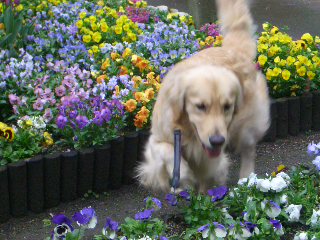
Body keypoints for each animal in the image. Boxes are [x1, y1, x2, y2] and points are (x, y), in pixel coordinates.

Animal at [137, 0, 270, 192]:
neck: (189, 132)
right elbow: (168, 152)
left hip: (247, 125)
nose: (217, 141)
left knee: (248, 149)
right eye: (200, 106)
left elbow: (208, 174)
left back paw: (246, 180)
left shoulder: (210, 157)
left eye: (227, 107)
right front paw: (183, 174)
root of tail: (232, 50)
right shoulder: (158, 139)